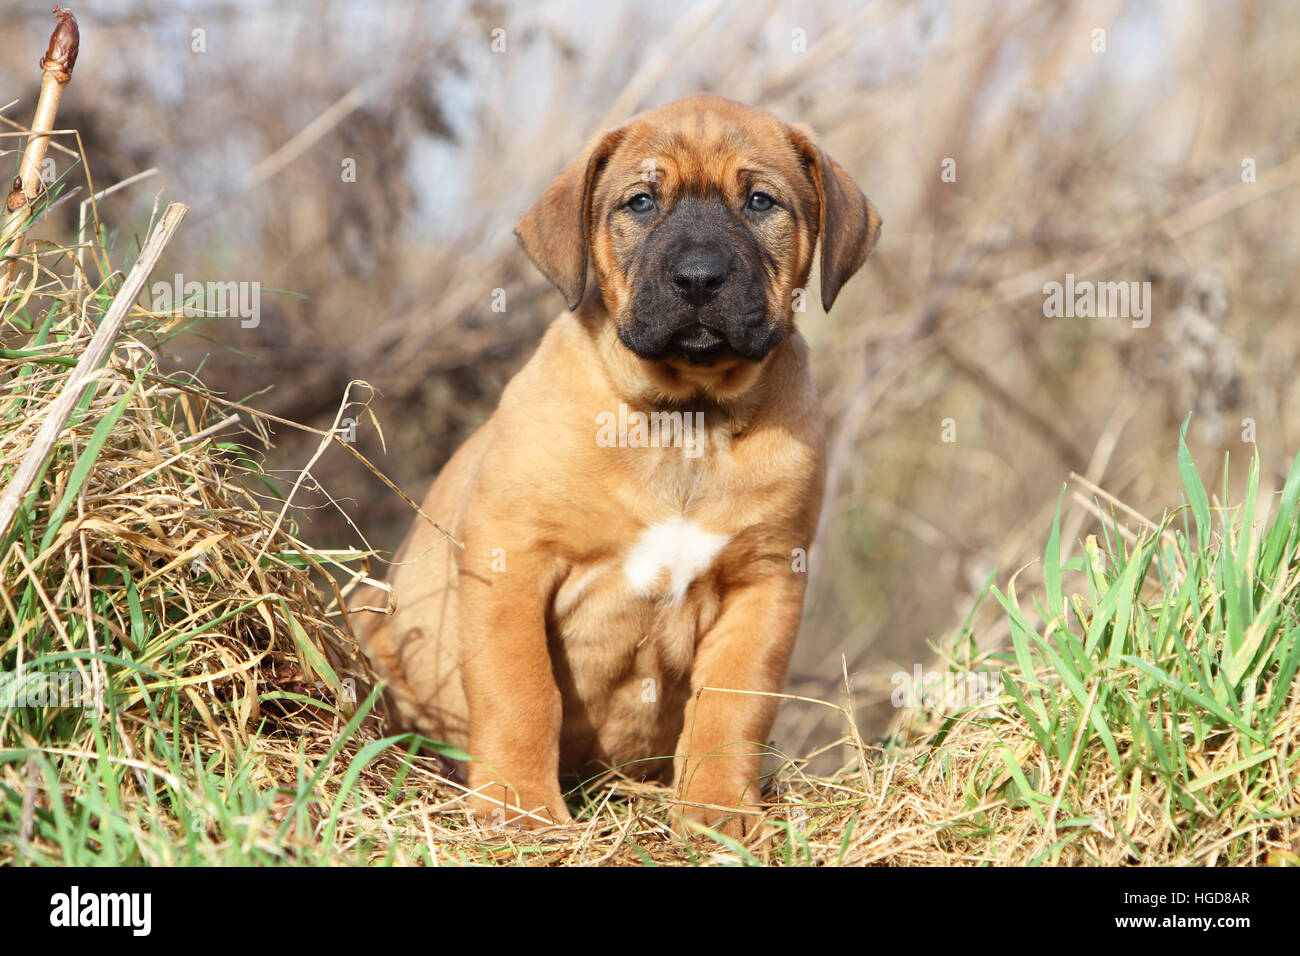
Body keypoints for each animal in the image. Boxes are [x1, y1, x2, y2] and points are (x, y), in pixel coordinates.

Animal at [351, 91, 883, 837]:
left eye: (760, 201)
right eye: (640, 202)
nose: (698, 278)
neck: (685, 420)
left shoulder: (767, 580)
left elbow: (734, 704)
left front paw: (718, 810)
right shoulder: (510, 556)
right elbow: (520, 688)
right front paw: (519, 808)